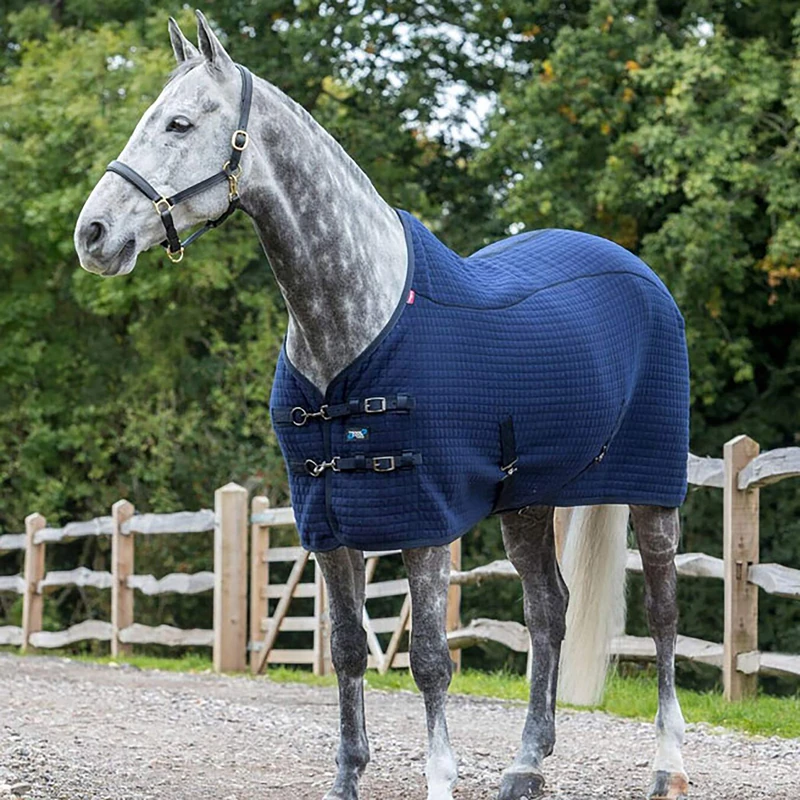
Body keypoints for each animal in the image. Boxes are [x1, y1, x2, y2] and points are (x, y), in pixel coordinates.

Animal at [74, 12, 690, 800]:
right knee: (548, 612)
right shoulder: (330, 524)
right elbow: (344, 650)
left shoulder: (424, 520)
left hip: (653, 490)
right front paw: (346, 779)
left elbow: (428, 658)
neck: (352, 325)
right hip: (527, 503)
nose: (93, 235)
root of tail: (639, 273)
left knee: (662, 613)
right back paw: (525, 765)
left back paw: (668, 764)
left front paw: (440, 779)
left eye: (179, 123)